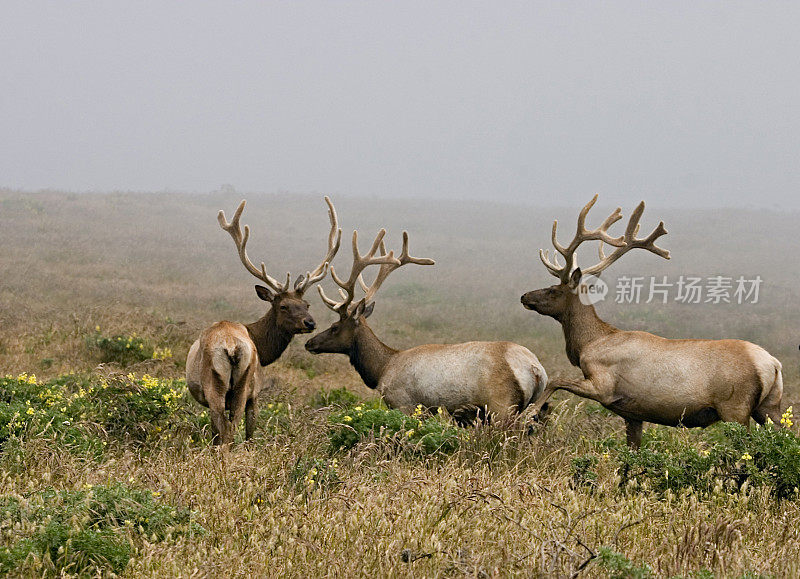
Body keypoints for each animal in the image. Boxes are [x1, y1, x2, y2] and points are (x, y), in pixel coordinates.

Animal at [188, 198, 340, 444]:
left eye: (306, 304)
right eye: (283, 306)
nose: (310, 323)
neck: (261, 346)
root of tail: (231, 347)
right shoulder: (257, 391)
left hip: (226, 387)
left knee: (225, 428)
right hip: (236, 385)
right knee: (229, 428)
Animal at [306, 227, 552, 422]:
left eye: (335, 326)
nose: (310, 343)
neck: (383, 368)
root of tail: (535, 369)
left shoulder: (404, 403)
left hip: (501, 405)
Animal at [520, 196, 780, 448]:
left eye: (553, 290)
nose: (524, 296)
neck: (589, 343)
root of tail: (772, 364)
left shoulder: (603, 386)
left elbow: (556, 380)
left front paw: (530, 414)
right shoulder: (632, 413)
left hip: (734, 406)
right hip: (769, 407)